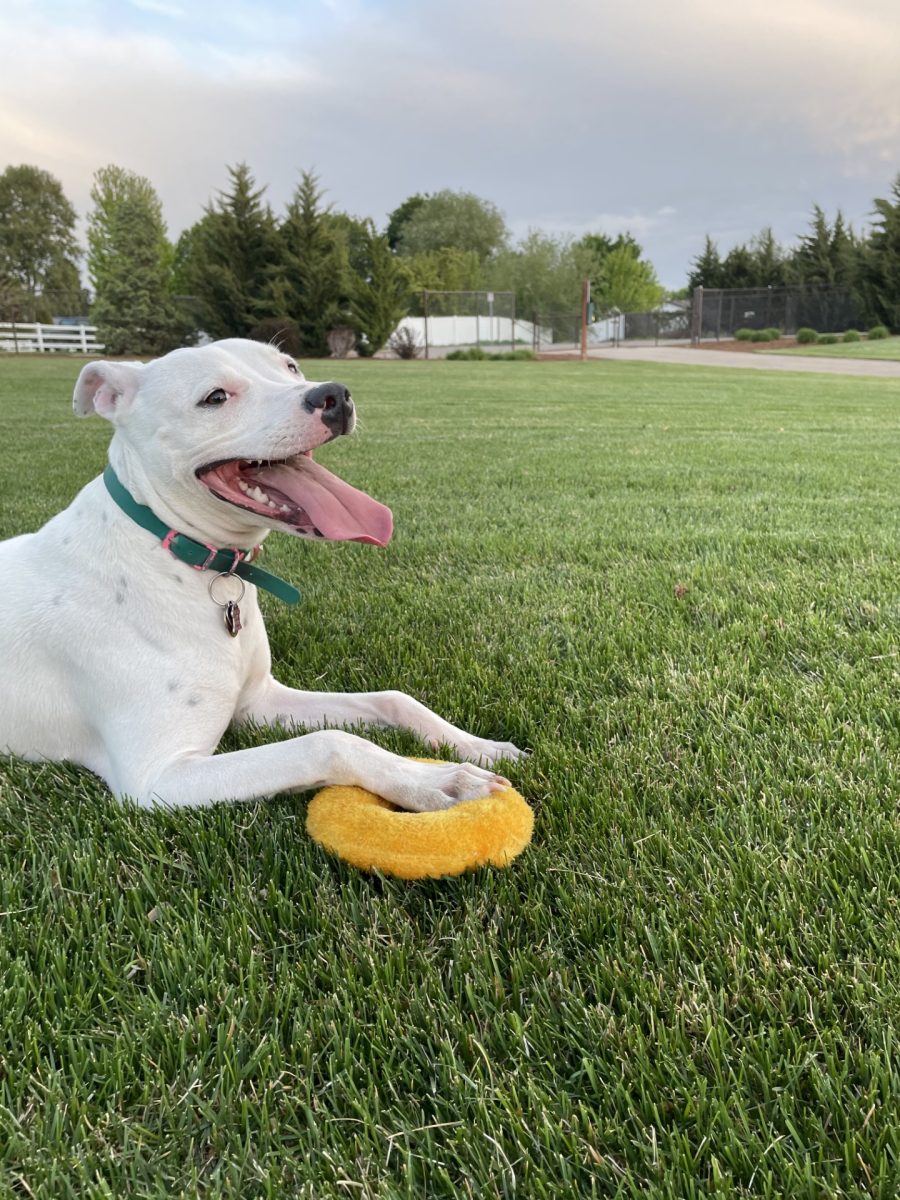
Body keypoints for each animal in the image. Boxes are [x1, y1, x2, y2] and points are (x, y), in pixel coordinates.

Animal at [0, 338, 525, 811]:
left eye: (290, 366)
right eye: (215, 397)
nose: (335, 394)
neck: (173, 546)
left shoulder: (258, 703)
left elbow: (393, 698)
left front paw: (477, 747)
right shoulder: (156, 779)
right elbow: (330, 742)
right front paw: (434, 781)